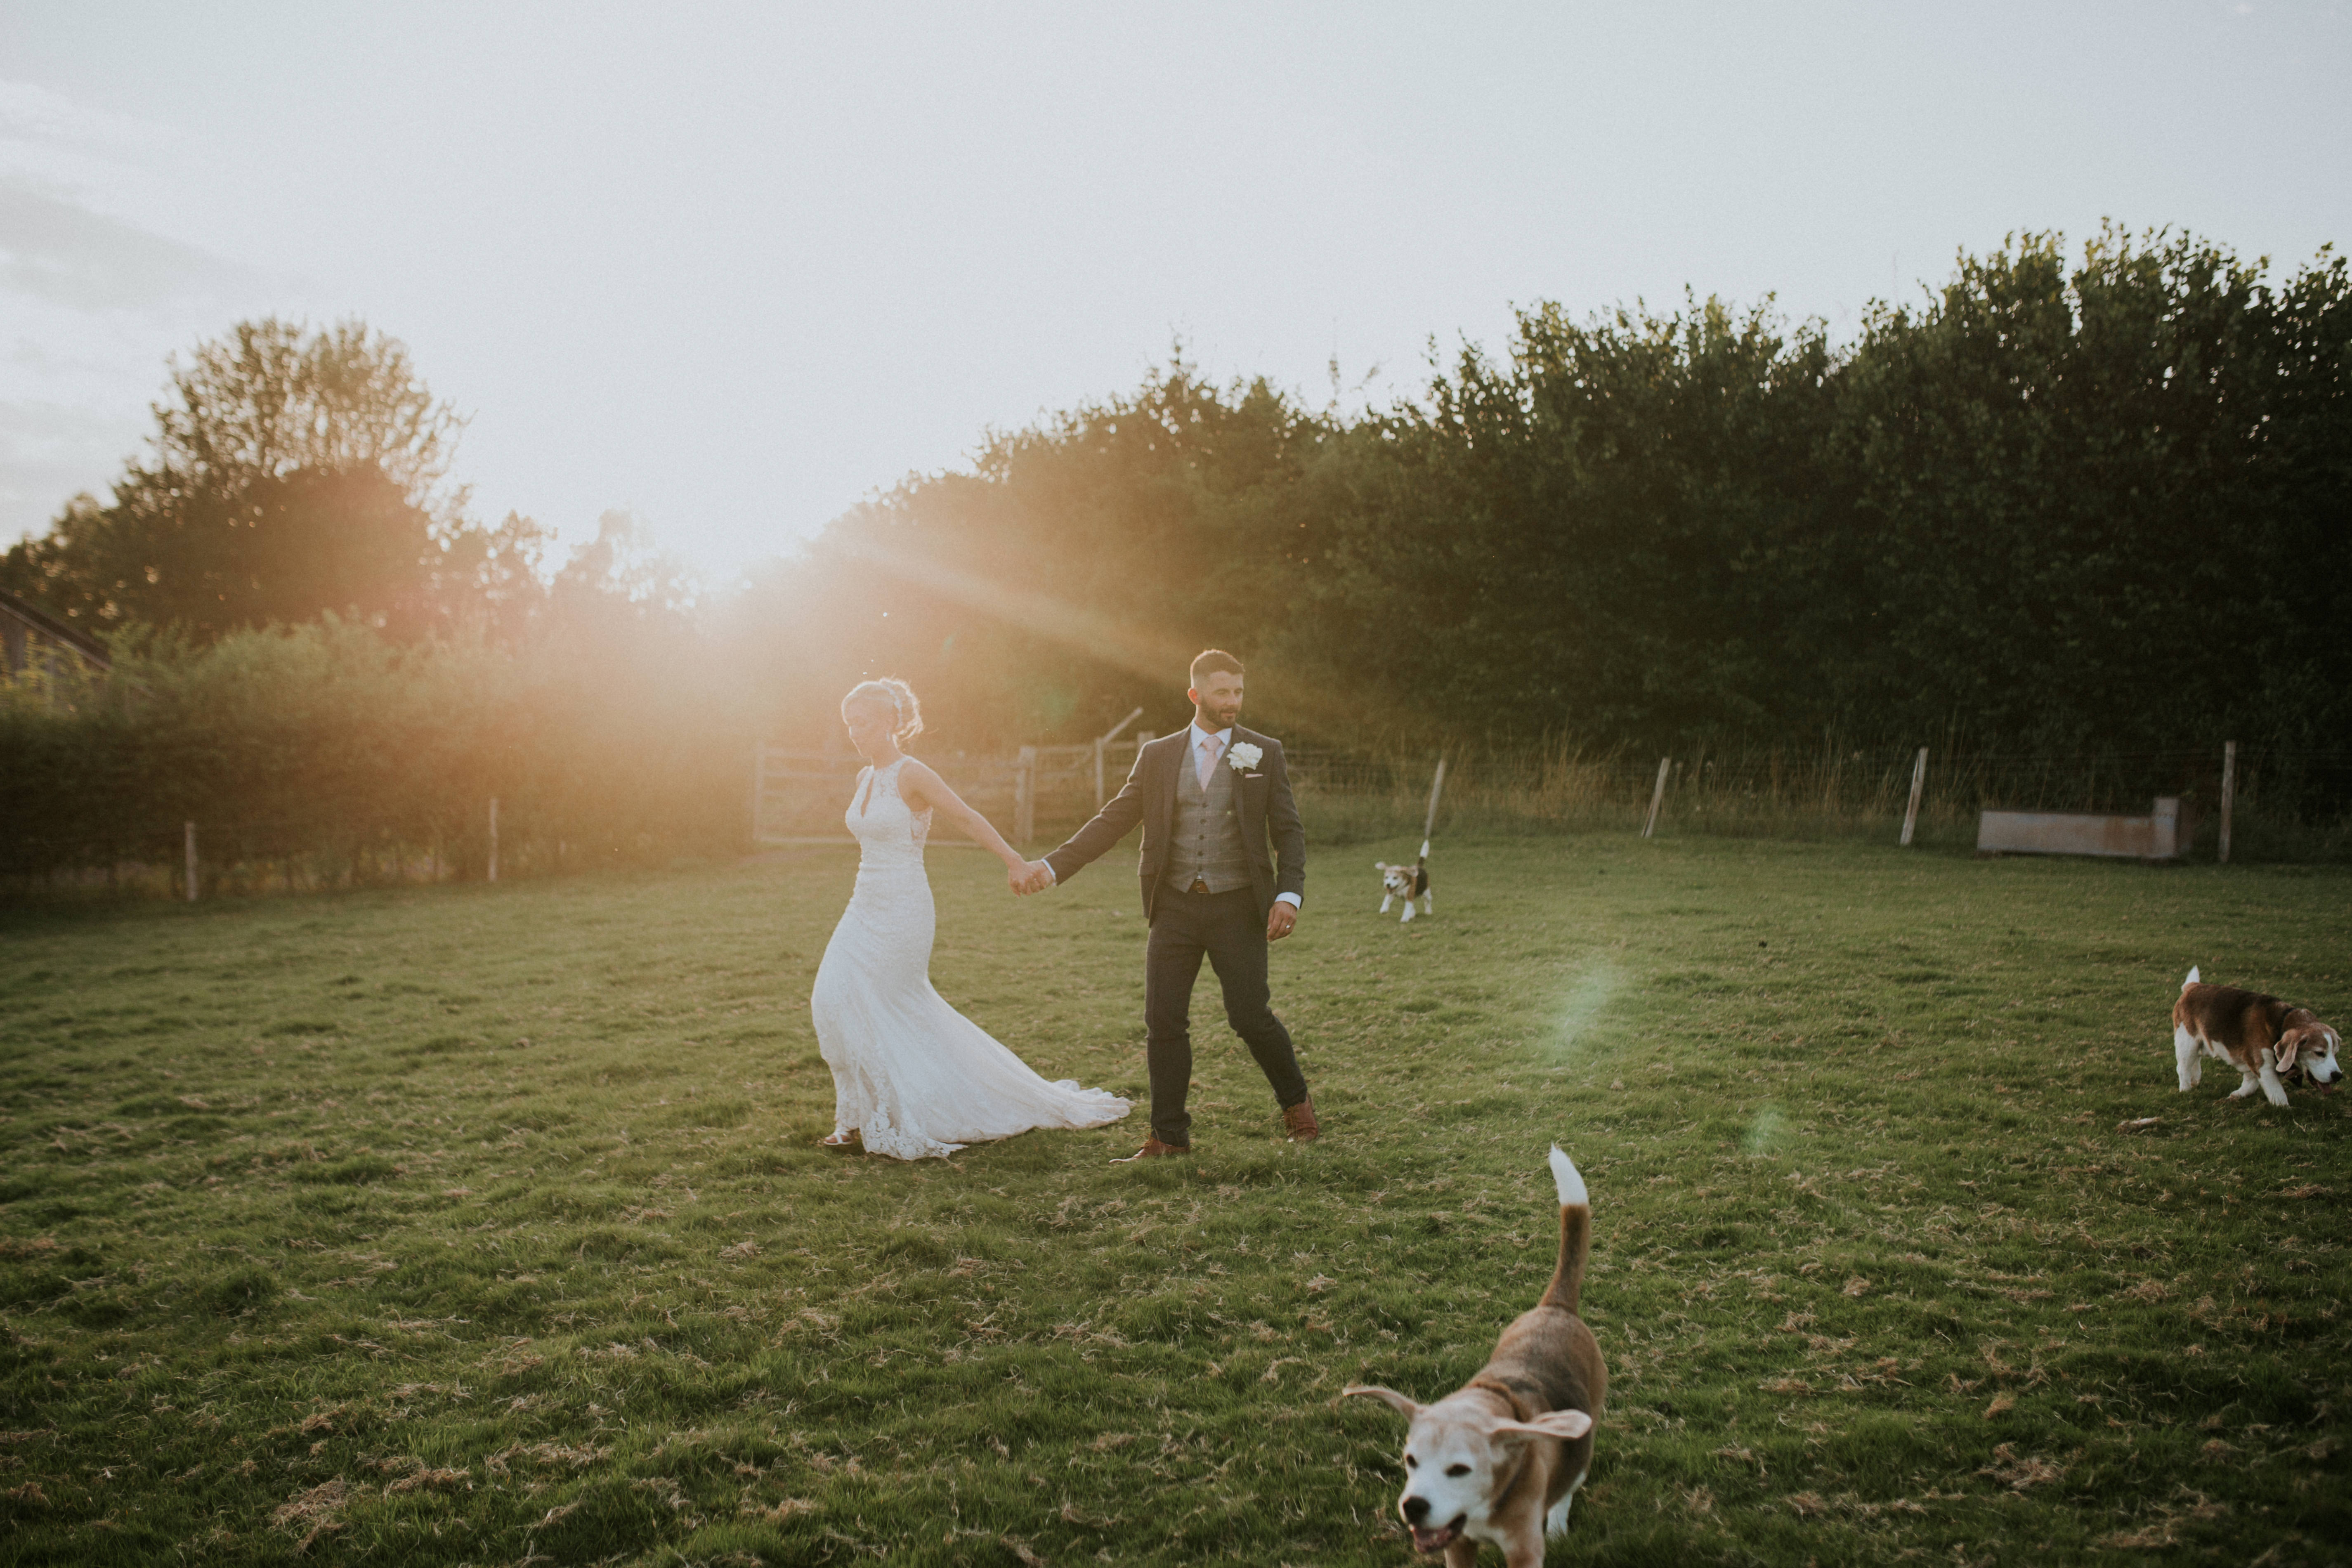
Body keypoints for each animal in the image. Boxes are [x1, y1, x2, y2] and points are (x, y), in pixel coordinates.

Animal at [1355, 1147, 1608, 1561]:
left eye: (1460, 1470)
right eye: (1411, 1461)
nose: (1414, 1506)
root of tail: (1557, 1307)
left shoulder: (1523, 1549)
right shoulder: (1457, 1546)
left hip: (1586, 1436)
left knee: (1568, 1488)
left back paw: (1558, 1525)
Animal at [2173, 963, 2343, 1110]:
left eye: (2335, 1053)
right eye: (2319, 1053)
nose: (2338, 1076)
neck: (2281, 1023)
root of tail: (2192, 987)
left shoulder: (2252, 1061)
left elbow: (2250, 1082)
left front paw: (2238, 1095)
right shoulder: (2264, 1067)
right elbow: (2278, 1094)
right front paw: (2287, 1109)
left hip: (2202, 1044)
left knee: (2197, 1060)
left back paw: (2195, 1079)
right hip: (2187, 1042)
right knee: (2183, 1067)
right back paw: (2186, 1088)